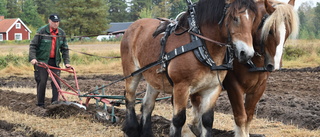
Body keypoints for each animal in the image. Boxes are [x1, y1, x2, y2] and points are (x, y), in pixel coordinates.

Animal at [120, 0, 258, 136]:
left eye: (253, 19)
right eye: (235, 18)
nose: (247, 53)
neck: (200, 45)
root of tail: (133, 25)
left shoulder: (213, 88)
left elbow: (207, 120)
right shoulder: (181, 87)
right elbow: (178, 120)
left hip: (154, 78)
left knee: (147, 104)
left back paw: (146, 133)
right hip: (132, 72)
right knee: (130, 98)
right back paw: (131, 129)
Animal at [224, 0, 298, 137]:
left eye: (288, 32)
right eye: (270, 31)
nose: (274, 65)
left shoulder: (259, 87)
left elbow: (249, 115)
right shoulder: (233, 85)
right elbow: (240, 117)